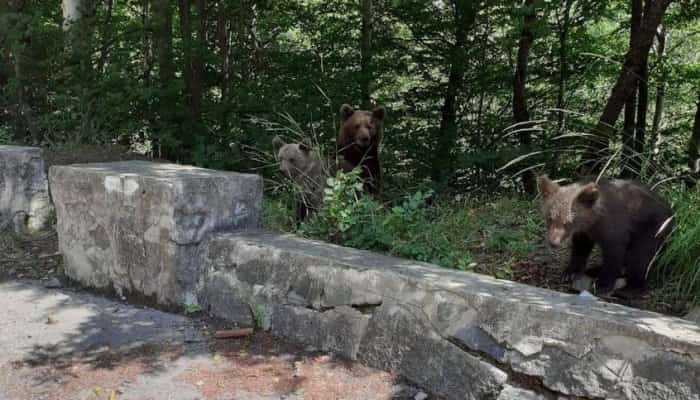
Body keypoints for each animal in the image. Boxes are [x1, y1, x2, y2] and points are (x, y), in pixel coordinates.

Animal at [536, 177, 672, 296]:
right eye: (550, 218)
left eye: (568, 222)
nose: (553, 242)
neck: (593, 220)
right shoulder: (585, 232)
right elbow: (580, 248)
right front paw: (570, 273)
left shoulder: (615, 229)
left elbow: (614, 255)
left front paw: (603, 284)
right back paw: (594, 269)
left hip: (651, 229)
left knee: (640, 257)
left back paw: (630, 289)